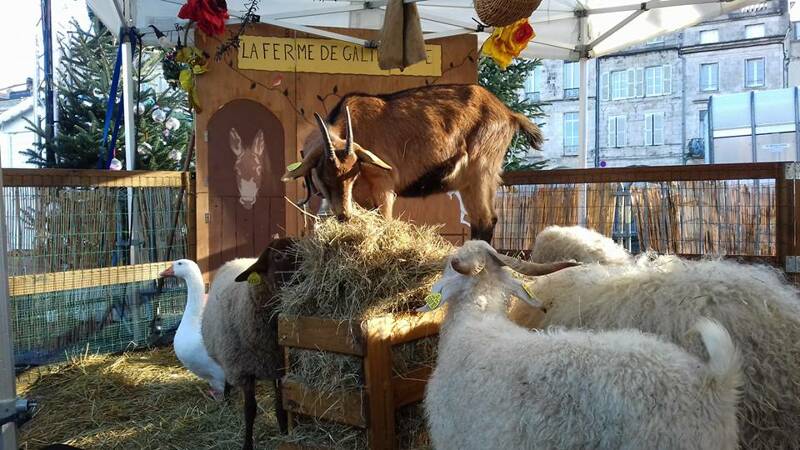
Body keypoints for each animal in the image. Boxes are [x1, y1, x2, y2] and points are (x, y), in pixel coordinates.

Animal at [202, 237, 298, 448]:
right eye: (277, 257)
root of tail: (238, 258)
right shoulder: (244, 371)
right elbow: (250, 411)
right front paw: (247, 444)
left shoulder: (278, 368)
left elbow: (280, 406)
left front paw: (284, 432)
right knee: (226, 377)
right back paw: (227, 398)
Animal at [282, 82, 544, 241]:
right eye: (321, 174)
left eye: (352, 171)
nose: (343, 215)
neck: (350, 126)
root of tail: (509, 114)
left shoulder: (384, 187)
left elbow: (386, 222)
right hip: (470, 182)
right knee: (481, 222)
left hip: (480, 172)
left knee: (487, 220)